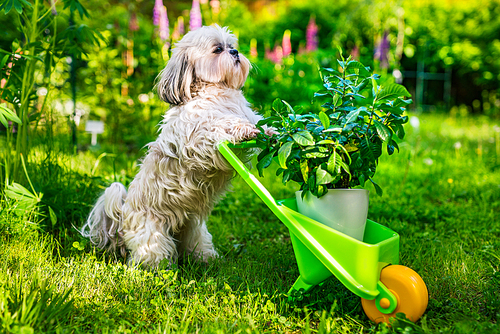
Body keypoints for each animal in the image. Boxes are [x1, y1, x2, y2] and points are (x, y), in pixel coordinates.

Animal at [80, 24, 266, 268]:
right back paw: (158, 269)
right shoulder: (198, 140)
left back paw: (206, 259)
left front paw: (272, 130)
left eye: (231, 46)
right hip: (152, 232)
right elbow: (218, 126)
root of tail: (122, 214)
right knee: (150, 252)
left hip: (193, 226)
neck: (216, 92)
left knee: (194, 244)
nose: (235, 52)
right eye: (218, 49)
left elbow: (255, 123)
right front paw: (241, 128)